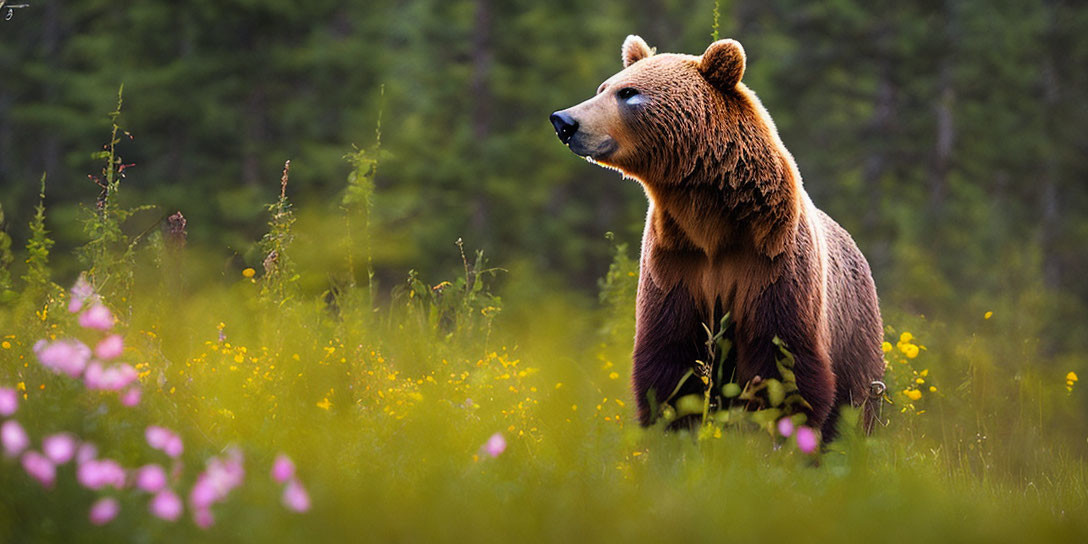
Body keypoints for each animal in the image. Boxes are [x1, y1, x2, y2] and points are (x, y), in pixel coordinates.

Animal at [552, 36, 883, 439]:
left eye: (628, 93)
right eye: (604, 87)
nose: (564, 121)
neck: (711, 219)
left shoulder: (772, 263)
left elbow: (783, 364)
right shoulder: (675, 265)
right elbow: (670, 362)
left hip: (854, 331)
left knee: (856, 402)